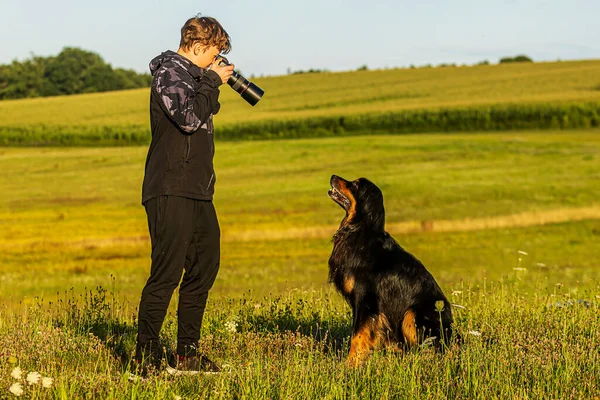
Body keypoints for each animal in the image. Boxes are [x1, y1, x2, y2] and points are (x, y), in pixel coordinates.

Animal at [328, 175, 454, 366]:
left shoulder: (365, 300)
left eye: (355, 184)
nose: (333, 176)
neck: (361, 230)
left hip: (412, 314)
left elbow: (357, 335)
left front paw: (352, 364)